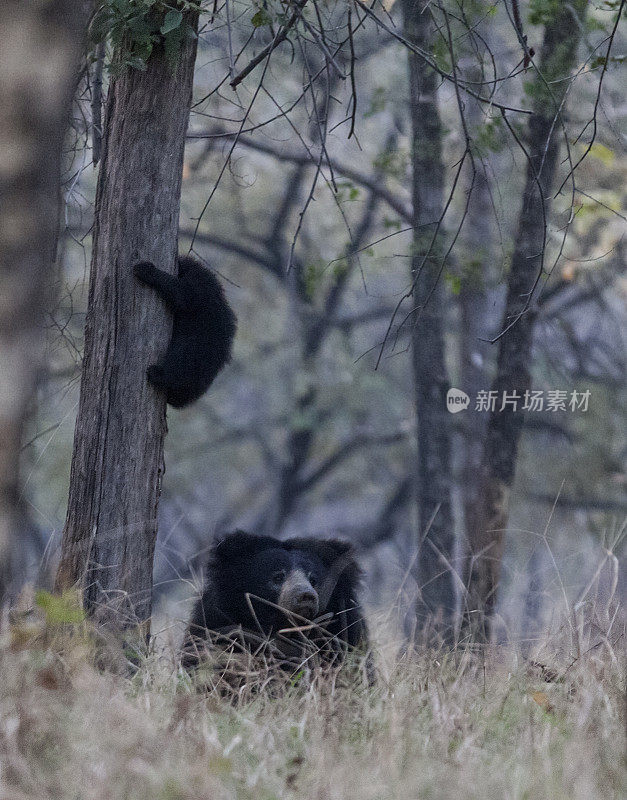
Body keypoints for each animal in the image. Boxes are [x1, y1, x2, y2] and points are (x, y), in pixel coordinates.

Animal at [134, 255, 237, 406]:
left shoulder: (200, 285)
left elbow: (184, 294)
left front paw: (146, 270)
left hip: (198, 348)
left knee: (181, 358)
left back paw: (159, 375)